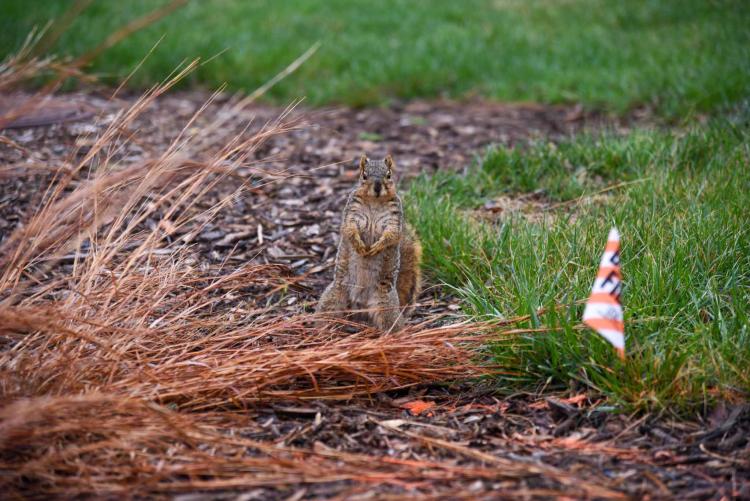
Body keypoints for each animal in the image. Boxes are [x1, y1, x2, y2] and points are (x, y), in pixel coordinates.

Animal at [316, 154, 422, 331]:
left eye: (389, 175)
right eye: (364, 175)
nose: (378, 187)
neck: (375, 201)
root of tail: (359, 310)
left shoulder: (394, 219)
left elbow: (391, 235)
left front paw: (376, 247)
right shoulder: (351, 214)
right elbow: (349, 229)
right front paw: (359, 246)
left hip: (385, 306)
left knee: (392, 325)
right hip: (334, 296)